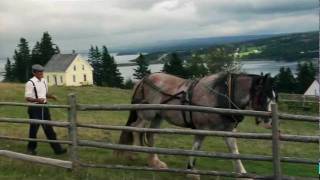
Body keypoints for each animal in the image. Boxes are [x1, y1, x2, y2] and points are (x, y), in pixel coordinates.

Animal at [116, 71, 276, 179]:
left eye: (274, 96)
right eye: (264, 96)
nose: (270, 122)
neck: (221, 94)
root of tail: (143, 80)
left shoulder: (228, 131)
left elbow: (234, 151)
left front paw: (242, 173)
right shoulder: (201, 128)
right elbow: (196, 148)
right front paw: (191, 171)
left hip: (158, 117)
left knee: (150, 134)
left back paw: (155, 162)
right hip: (146, 114)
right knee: (135, 129)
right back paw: (131, 154)